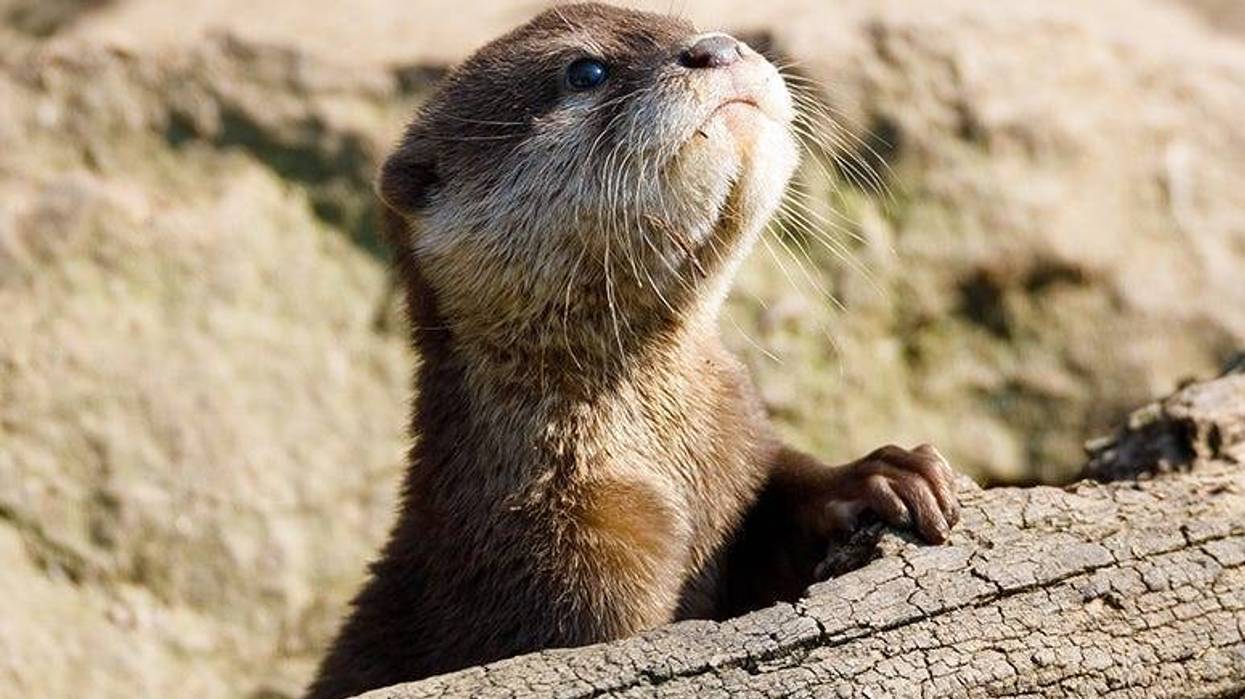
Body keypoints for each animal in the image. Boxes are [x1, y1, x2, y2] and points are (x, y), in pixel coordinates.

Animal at [306, 4, 959, 698]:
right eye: (586, 70)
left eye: (689, 24)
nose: (717, 47)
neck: (663, 462)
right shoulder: (562, 555)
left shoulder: (741, 440)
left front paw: (885, 474)